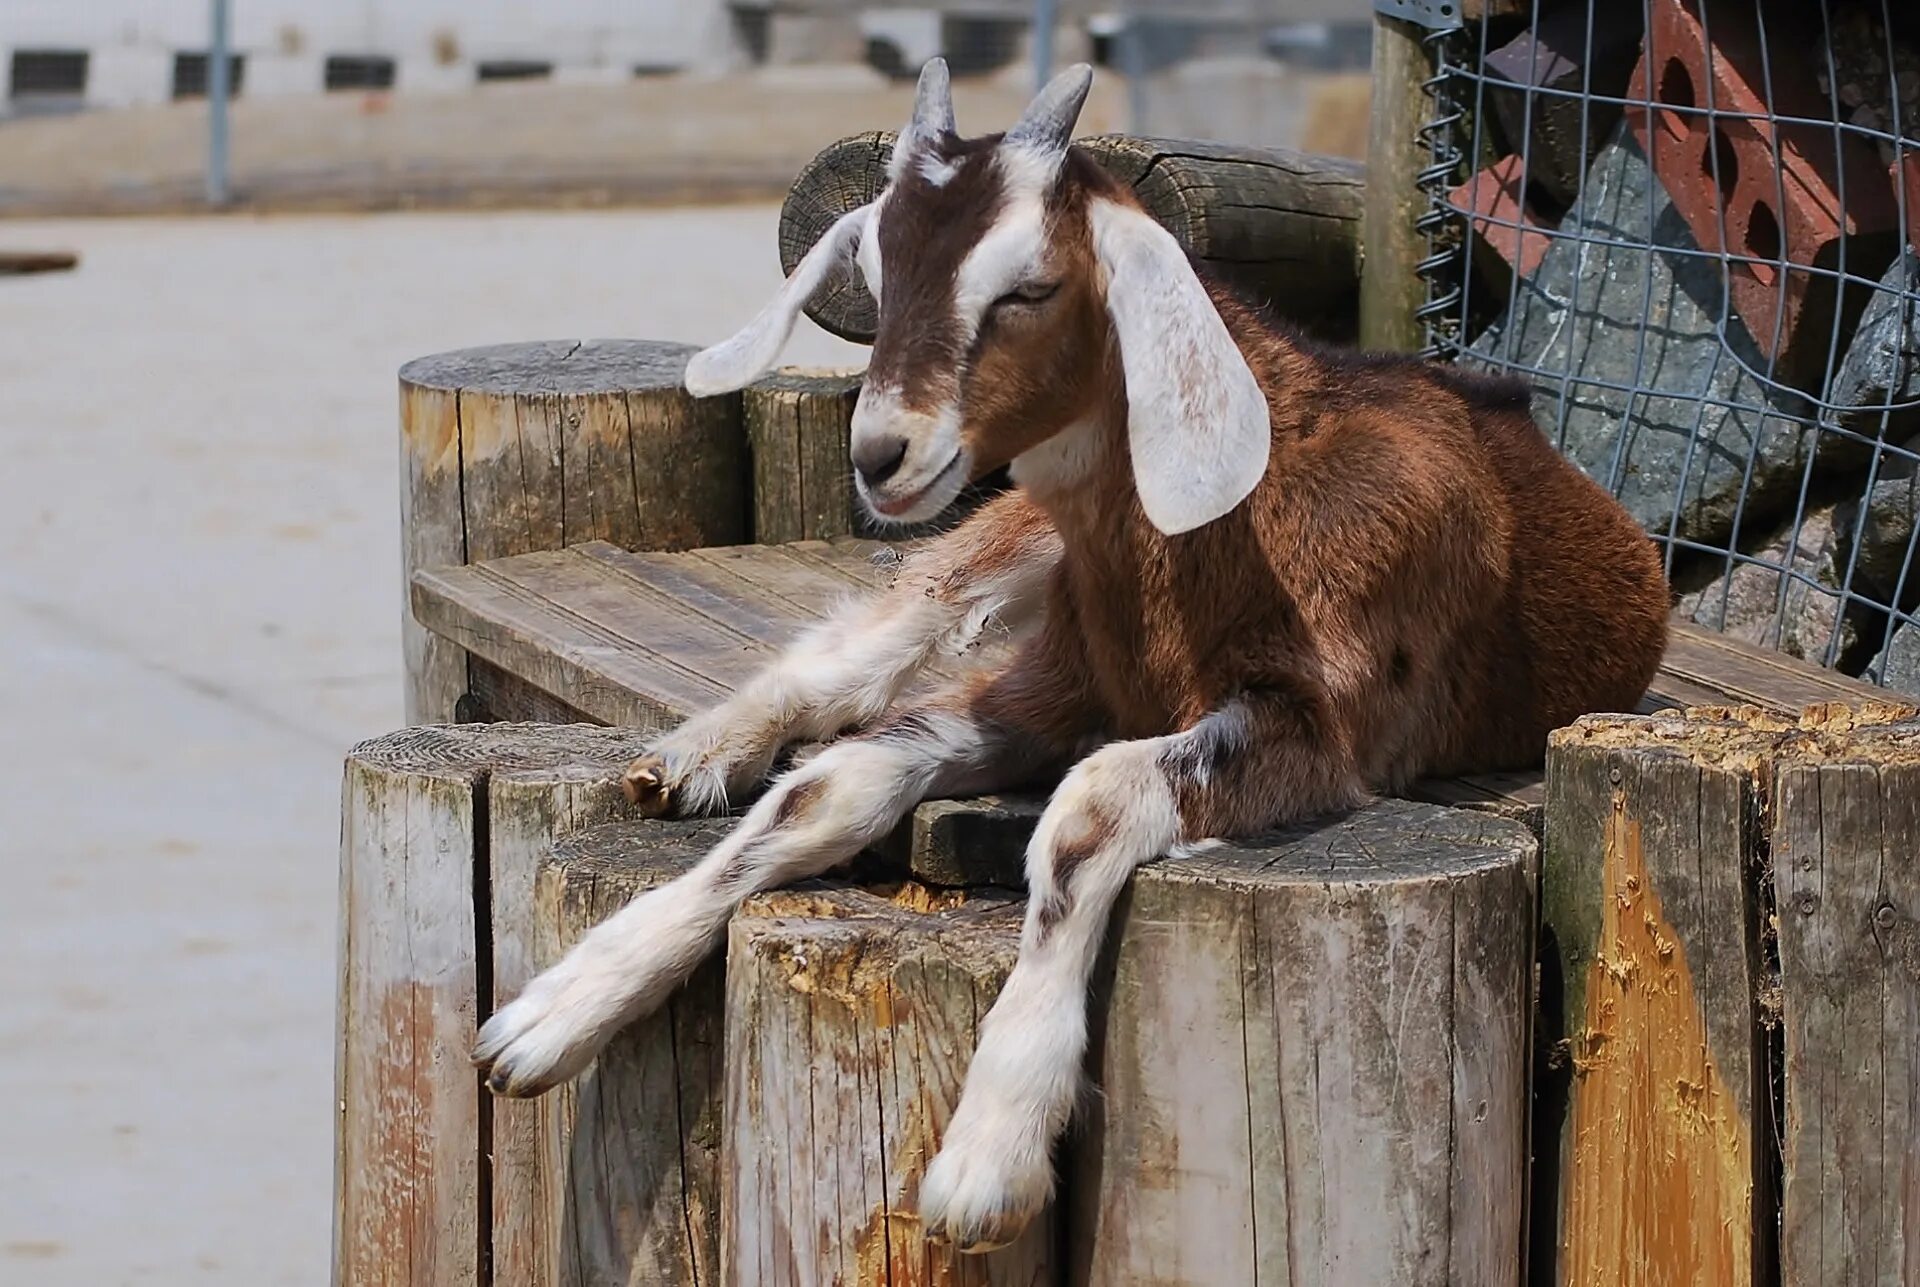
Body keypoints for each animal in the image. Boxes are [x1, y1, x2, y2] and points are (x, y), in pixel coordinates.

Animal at [468, 58, 1666, 1252]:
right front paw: (550, 1015)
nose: (883, 453)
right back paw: (693, 757)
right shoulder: (1050, 684)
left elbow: (1084, 810)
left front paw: (987, 1154)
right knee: (871, 640)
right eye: (877, 272)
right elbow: (830, 786)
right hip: (1004, 540)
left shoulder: (1323, 725)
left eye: (1030, 289)